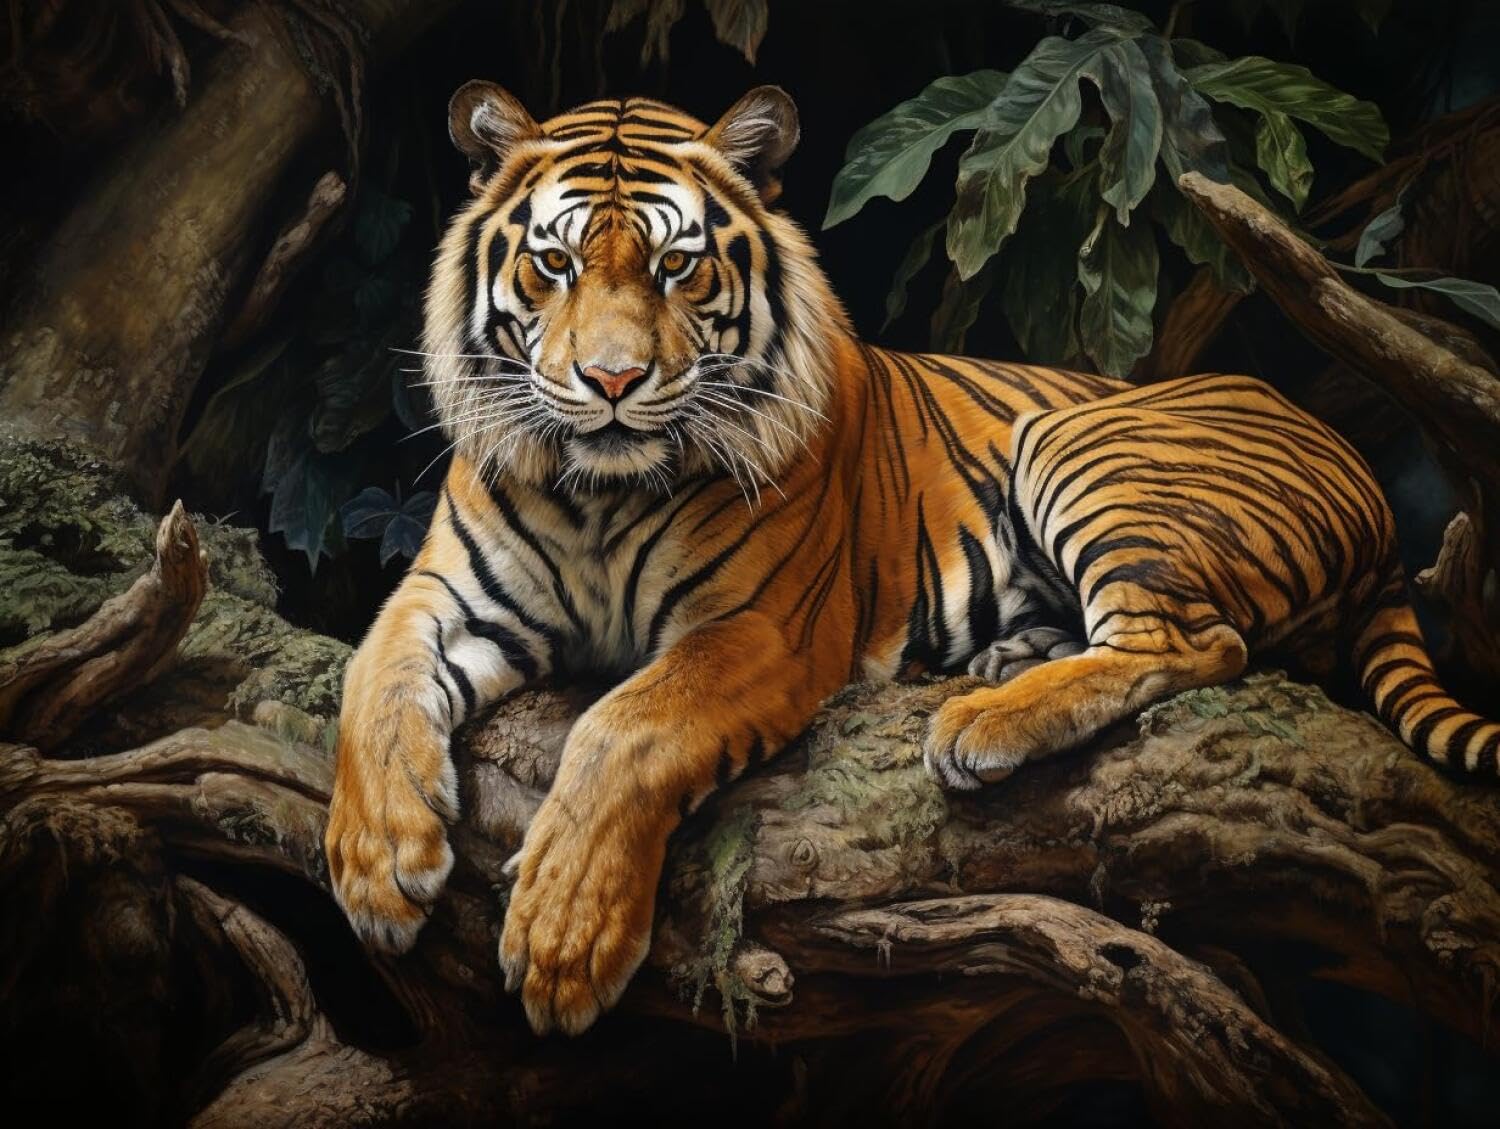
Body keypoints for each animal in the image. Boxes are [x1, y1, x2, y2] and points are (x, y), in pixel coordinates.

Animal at [324, 81, 1500, 1036]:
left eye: (675, 265)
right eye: (555, 262)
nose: (611, 383)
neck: (600, 494)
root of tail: (1369, 485)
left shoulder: (761, 629)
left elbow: (626, 728)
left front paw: (566, 941)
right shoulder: (441, 590)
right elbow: (369, 678)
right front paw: (379, 866)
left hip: (1080, 443)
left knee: (1195, 642)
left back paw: (981, 722)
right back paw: (1003, 665)